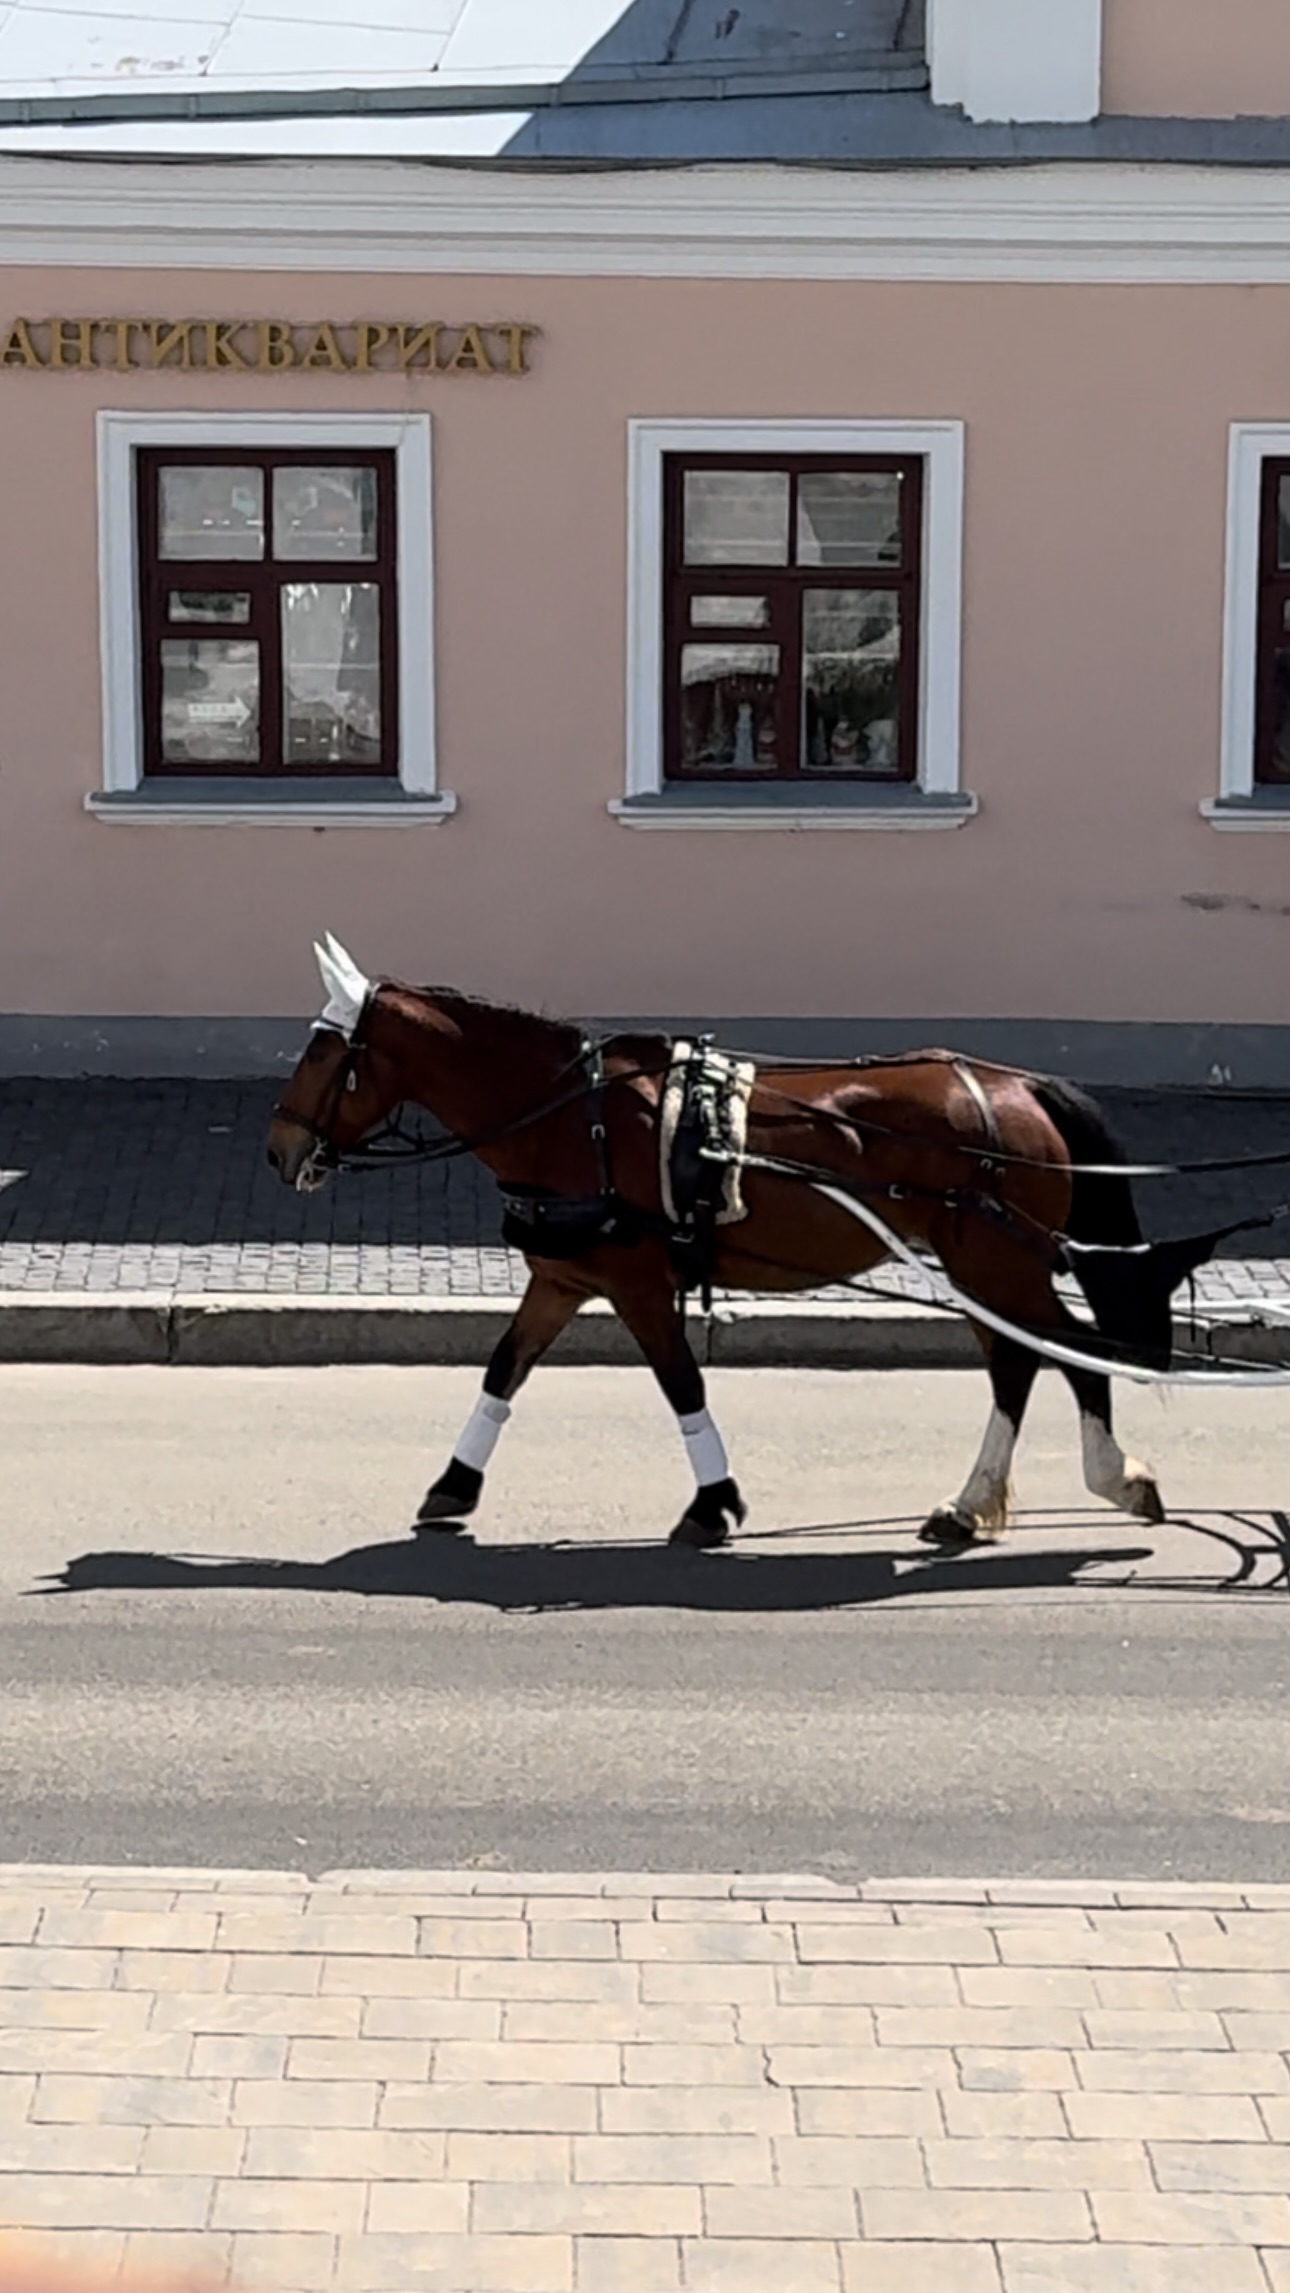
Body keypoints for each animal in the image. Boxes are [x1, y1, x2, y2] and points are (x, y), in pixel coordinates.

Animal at [270, 940, 1191, 1550]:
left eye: (321, 1048)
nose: (280, 1149)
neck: (577, 1118)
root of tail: (1016, 1085)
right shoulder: (564, 1276)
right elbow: (504, 1370)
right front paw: (452, 1485)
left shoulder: (635, 1281)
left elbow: (680, 1382)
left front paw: (713, 1502)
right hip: (982, 1266)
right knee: (1019, 1361)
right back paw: (971, 1504)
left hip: (996, 1262)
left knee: (1065, 1352)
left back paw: (1110, 1478)